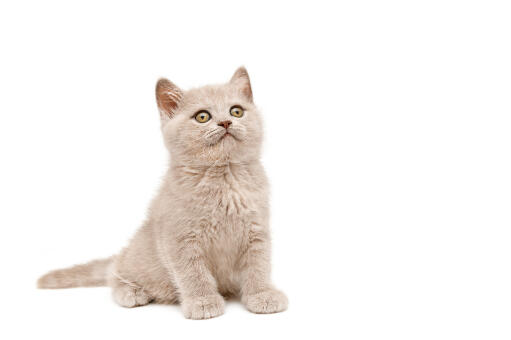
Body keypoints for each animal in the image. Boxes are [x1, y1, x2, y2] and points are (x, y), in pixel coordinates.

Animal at [38, 67, 288, 320]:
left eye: (236, 111)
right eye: (202, 116)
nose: (226, 122)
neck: (223, 179)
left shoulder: (257, 231)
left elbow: (259, 266)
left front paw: (262, 295)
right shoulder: (178, 238)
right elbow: (193, 272)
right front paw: (203, 302)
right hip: (136, 258)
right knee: (114, 274)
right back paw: (131, 292)